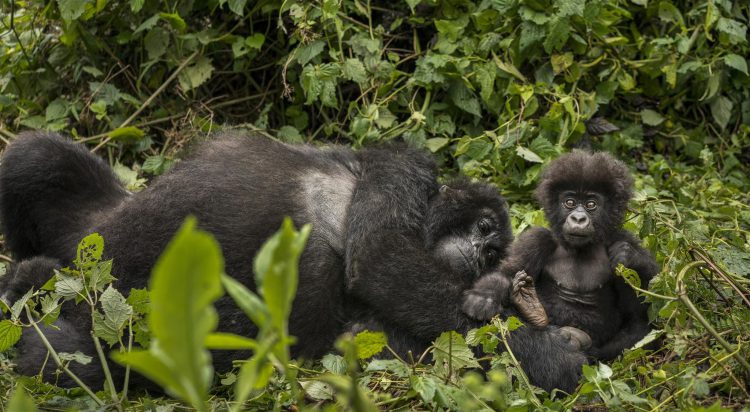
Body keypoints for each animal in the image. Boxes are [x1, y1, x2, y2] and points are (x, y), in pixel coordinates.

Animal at [0, 132, 588, 392]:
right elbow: (382, 261)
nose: (481, 256)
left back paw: (27, 288)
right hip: (91, 238)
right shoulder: (405, 165)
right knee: (33, 156)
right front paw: (550, 352)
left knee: (64, 355)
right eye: (486, 232)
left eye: (492, 253)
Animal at [464, 150, 656, 390]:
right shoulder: (538, 239)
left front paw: (630, 256)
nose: (578, 218)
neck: (580, 248)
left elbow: (644, 309)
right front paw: (483, 297)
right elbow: (506, 273)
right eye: (570, 202)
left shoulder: (622, 237)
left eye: (591, 204)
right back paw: (534, 311)